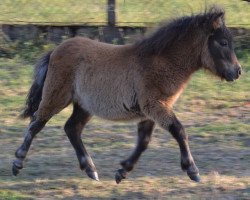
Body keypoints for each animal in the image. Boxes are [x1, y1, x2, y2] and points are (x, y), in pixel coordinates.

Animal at [12, 6, 241, 184]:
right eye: (223, 42)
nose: (237, 72)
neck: (159, 62)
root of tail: (55, 50)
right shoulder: (155, 106)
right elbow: (179, 131)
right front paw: (193, 171)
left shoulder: (150, 111)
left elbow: (144, 141)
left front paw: (122, 172)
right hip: (56, 97)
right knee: (36, 123)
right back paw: (17, 163)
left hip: (84, 105)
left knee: (71, 128)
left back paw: (91, 170)